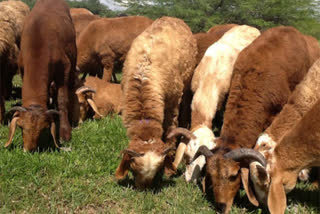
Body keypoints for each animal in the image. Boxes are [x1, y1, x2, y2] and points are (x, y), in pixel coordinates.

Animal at [4, 0, 77, 151]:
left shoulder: (64, 69)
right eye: (21, 128)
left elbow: (62, 100)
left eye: (43, 129)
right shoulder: (22, 68)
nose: (29, 150)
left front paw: (65, 132)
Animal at [114, 15, 196, 188]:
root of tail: (172, 17)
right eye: (133, 167)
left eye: (158, 169)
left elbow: (171, 129)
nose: (143, 189)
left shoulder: (172, 103)